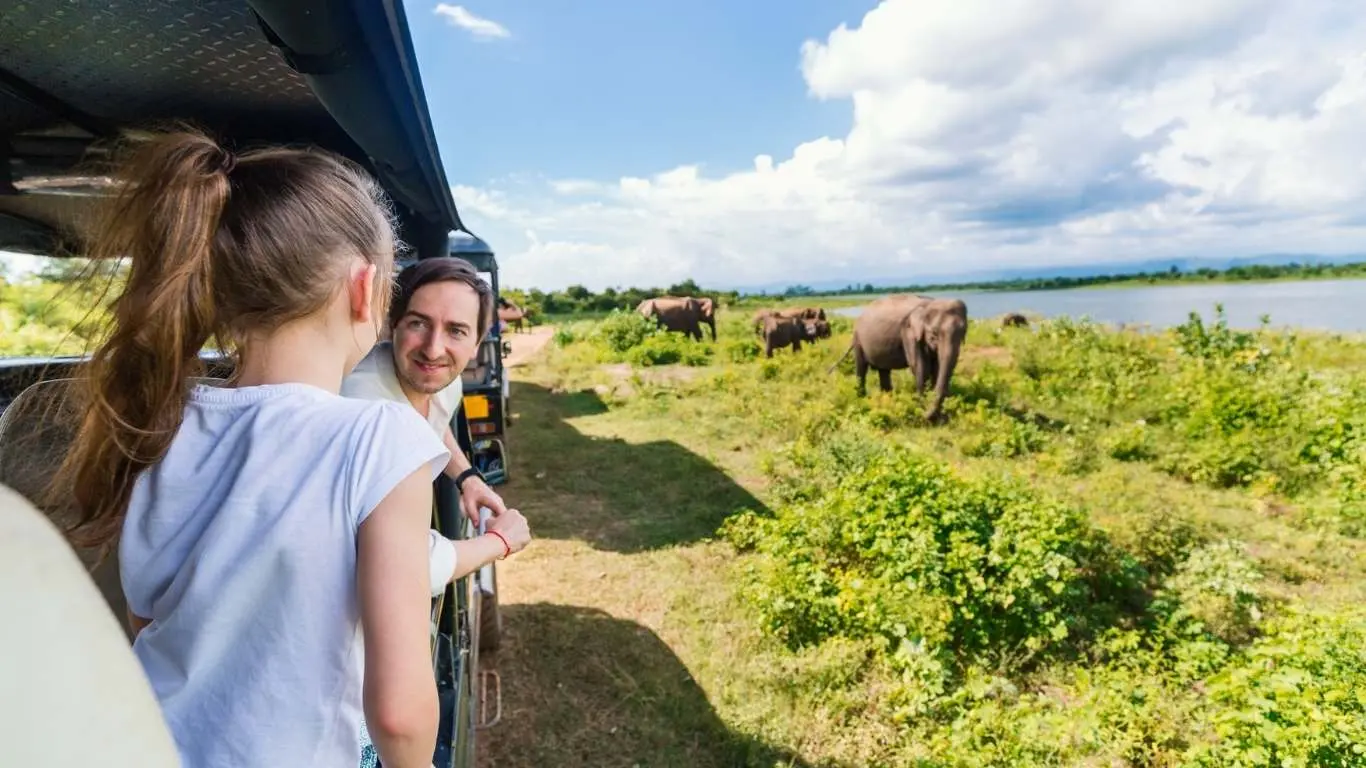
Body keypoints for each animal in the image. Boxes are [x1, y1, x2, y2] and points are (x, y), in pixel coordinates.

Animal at [828, 294, 967, 422]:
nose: (925, 416)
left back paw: (887, 398)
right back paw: (862, 398)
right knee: (861, 368)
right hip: (858, 340)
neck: (928, 304)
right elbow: (920, 366)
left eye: (963, 333)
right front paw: (923, 410)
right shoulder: (908, 333)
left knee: (883, 370)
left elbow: (936, 368)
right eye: (934, 333)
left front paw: (939, 417)